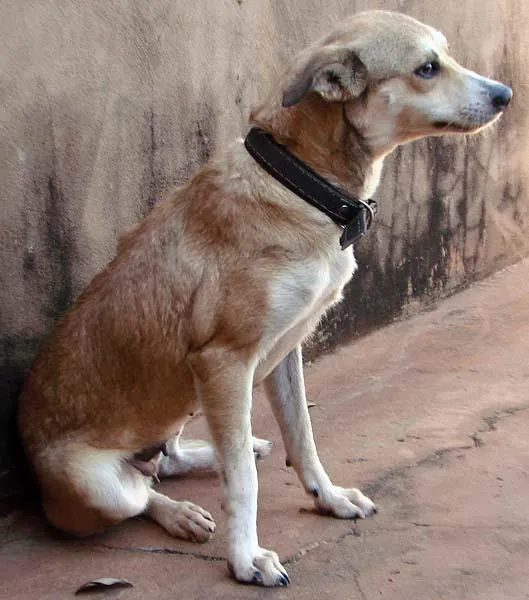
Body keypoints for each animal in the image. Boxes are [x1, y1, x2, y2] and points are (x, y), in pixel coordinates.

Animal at [18, 9, 510, 588]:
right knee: (140, 494)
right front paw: (246, 558)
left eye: (446, 55)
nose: (505, 94)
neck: (301, 185)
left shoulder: (285, 349)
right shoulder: (225, 362)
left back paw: (219, 456)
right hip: (93, 481)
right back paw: (181, 511)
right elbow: (243, 485)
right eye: (427, 68)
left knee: (168, 462)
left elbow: (303, 438)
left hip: (180, 405)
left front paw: (328, 498)